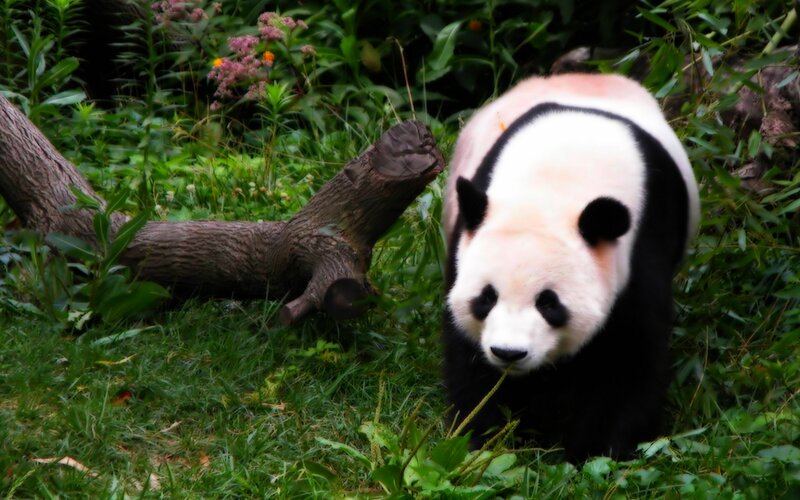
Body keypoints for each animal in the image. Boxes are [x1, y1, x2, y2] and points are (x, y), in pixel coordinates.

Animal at [442, 73, 700, 461]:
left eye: (549, 303)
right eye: (486, 298)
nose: (509, 353)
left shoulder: (643, 245)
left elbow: (628, 359)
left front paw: (598, 450)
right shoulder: (465, 242)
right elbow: (467, 356)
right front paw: (481, 436)